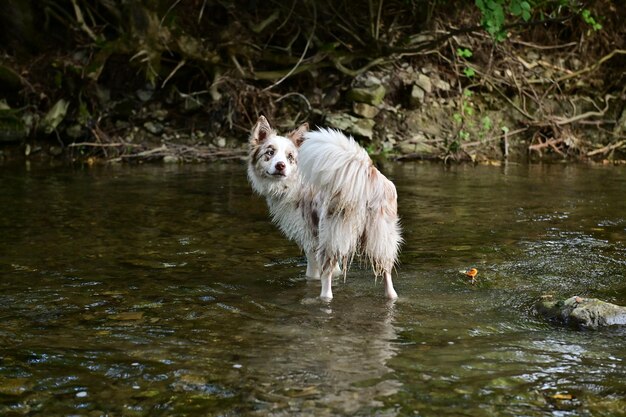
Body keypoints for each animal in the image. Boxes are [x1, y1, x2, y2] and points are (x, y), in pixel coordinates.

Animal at [245, 115, 400, 300]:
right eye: (270, 152)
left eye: (290, 157)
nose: (280, 165)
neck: (293, 183)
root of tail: (366, 175)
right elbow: (337, 271)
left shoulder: (310, 240)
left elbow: (312, 275)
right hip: (381, 240)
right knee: (388, 278)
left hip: (330, 239)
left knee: (327, 282)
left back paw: (323, 298)